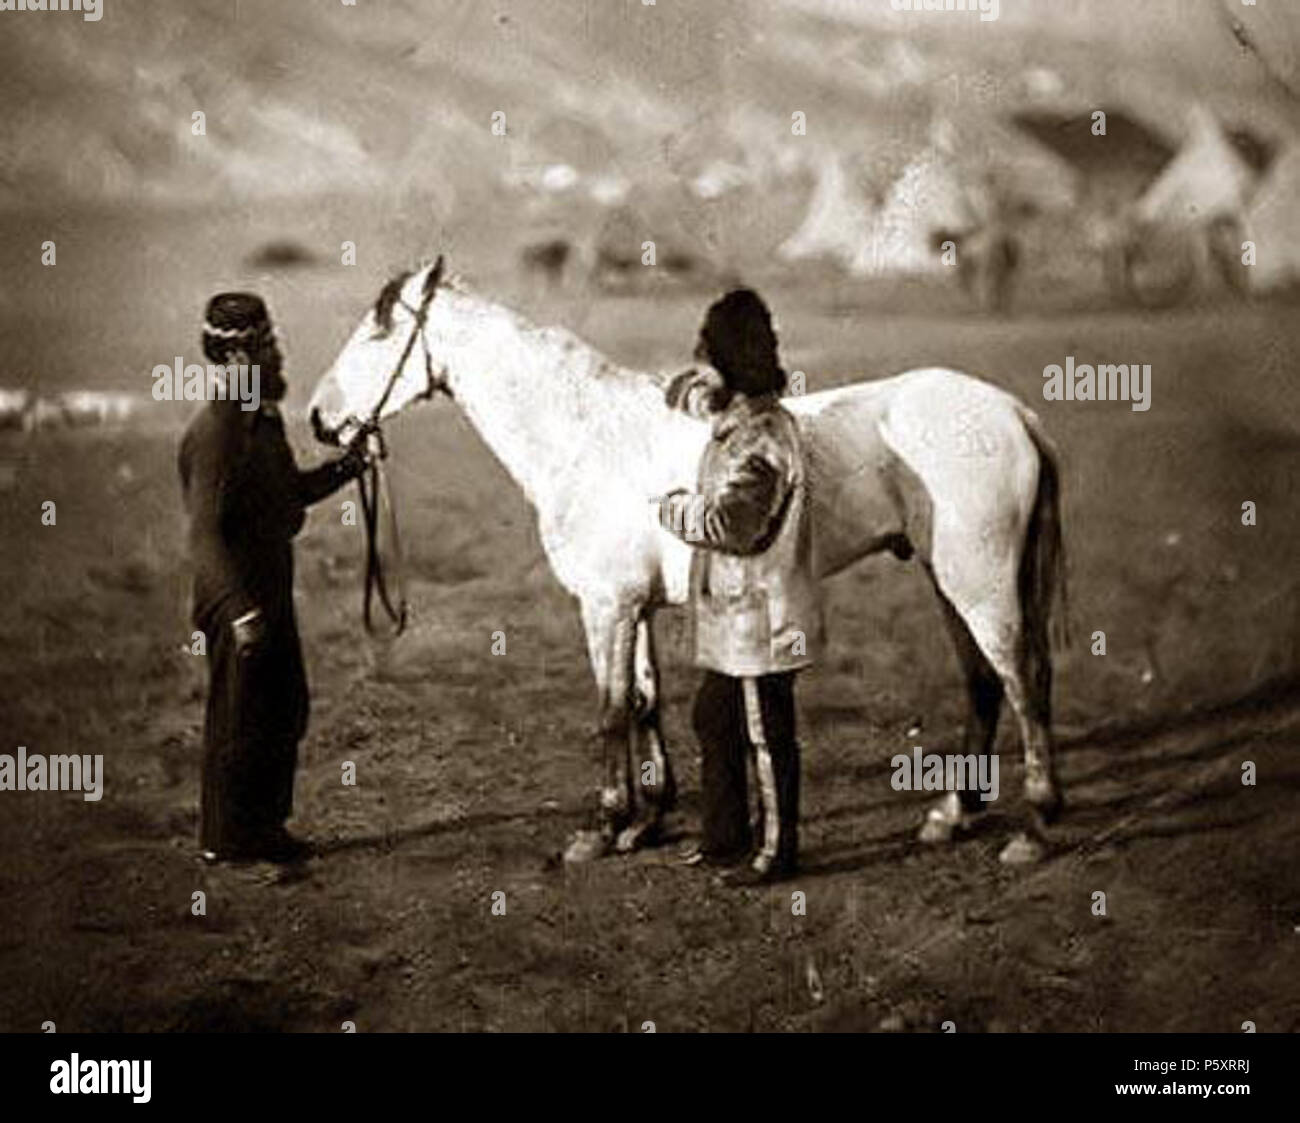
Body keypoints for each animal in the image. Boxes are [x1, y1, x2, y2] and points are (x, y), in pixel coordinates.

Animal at [309, 261, 1071, 857]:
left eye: (379, 329)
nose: (319, 418)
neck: (586, 437)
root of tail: (1014, 412)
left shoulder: (606, 606)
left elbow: (611, 709)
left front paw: (603, 826)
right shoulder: (633, 607)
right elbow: (646, 701)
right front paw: (646, 822)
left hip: (980, 582)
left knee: (1021, 674)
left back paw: (1035, 825)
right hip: (949, 579)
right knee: (983, 680)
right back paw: (951, 814)